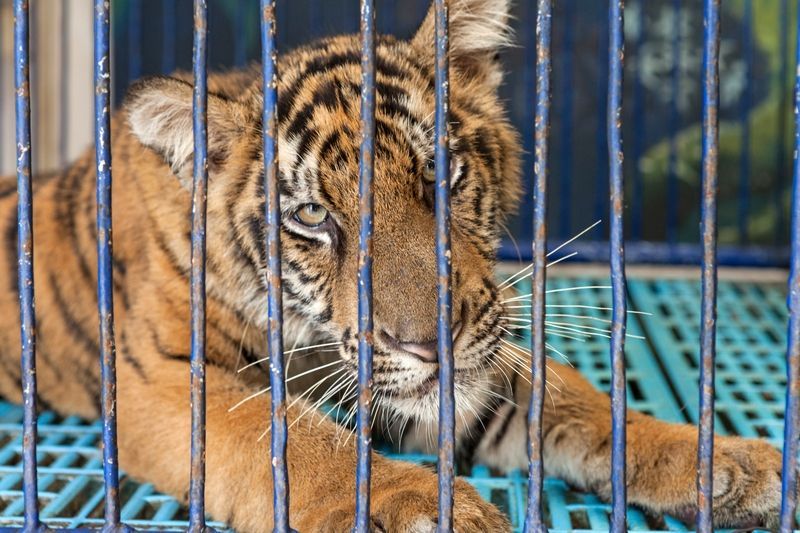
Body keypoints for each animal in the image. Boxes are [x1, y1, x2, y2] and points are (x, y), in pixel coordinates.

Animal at [0, 1, 791, 531]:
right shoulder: (166, 380)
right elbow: (286, 436)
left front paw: (722, 461)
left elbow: (578, 404)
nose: (427, 343)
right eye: (312, 216)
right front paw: (414, 506)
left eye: (439, 174)